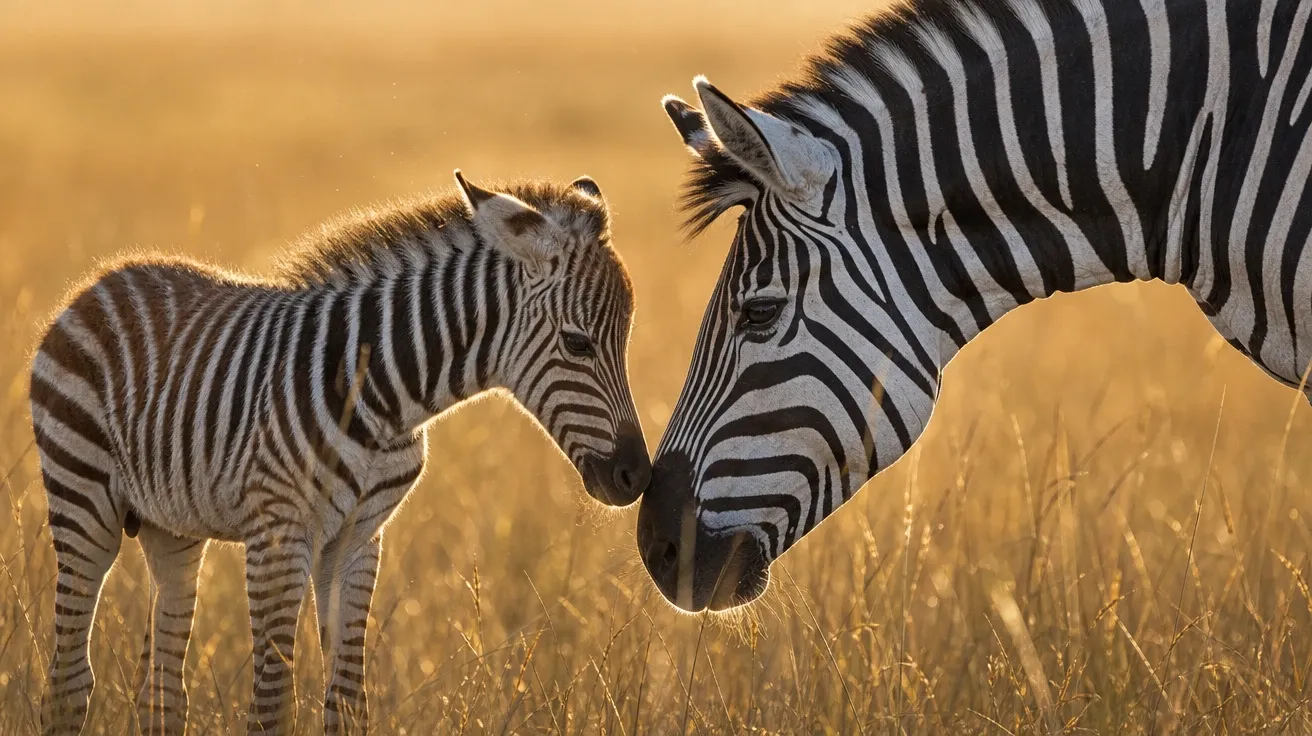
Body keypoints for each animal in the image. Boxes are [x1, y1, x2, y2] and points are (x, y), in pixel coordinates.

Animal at [30, 170, 651, 734]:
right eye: (577, 343)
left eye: (625, 341)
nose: (636, 477)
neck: (382, 398)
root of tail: (101, 280)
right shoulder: (279, 536)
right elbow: (272, 705)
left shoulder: (357, 542)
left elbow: (348, 703)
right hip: (83, 501)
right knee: (69, 681)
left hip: (172, 528)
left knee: (161, 691)